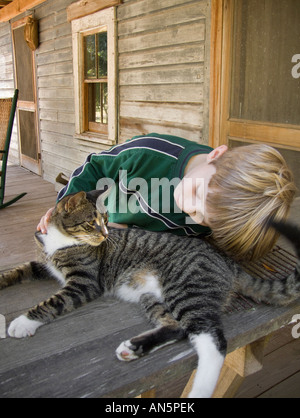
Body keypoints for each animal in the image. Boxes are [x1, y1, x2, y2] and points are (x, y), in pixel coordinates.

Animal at [1, 190, 300, 398]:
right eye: (91, 223)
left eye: (105, 221)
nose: (106, 234)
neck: (60, 240)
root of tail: (228, 262)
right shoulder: (42, 263)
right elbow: (18, 270)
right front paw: (5, 279)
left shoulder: (84, 282)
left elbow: (53, 301)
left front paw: (23, 322)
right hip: (152, 297)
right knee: (177, 327)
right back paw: (134, 348)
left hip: (186, 288)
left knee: (213, 340)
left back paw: (198, 389)